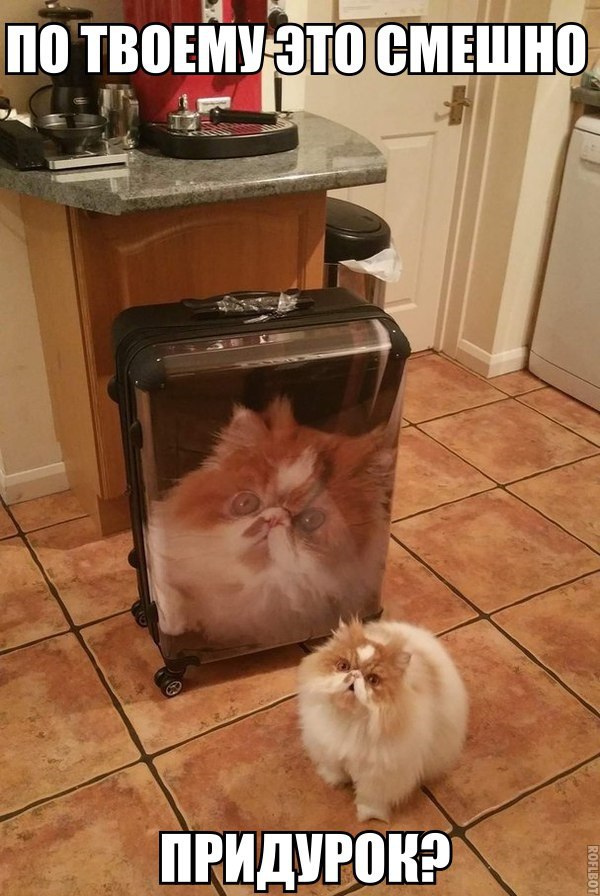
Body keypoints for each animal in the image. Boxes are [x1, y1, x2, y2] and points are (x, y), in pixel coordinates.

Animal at [298, 618, 468, 822]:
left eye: (373, 680)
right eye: (343, 666)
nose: (355, 674)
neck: (351, 718)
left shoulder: (379, 776)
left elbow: (370, 798)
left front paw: (369, 816)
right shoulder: (328, 749)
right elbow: (334, 768)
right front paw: (332, 781)